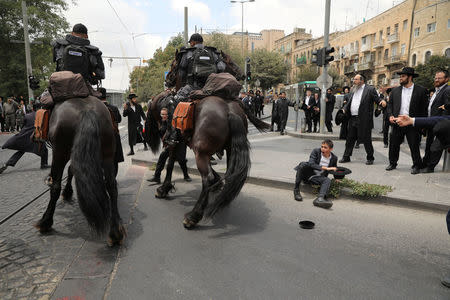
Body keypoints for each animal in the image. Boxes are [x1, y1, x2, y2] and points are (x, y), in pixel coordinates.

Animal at [35, 96, 125, 246]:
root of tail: (87, 110)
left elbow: (67, 174)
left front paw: (66, 192)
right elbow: (73, 169)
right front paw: (68, 191)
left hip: (60, 152)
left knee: (55, 187)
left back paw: (45, 221)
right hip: (107, 154)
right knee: (112, 186)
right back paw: (115, 231)